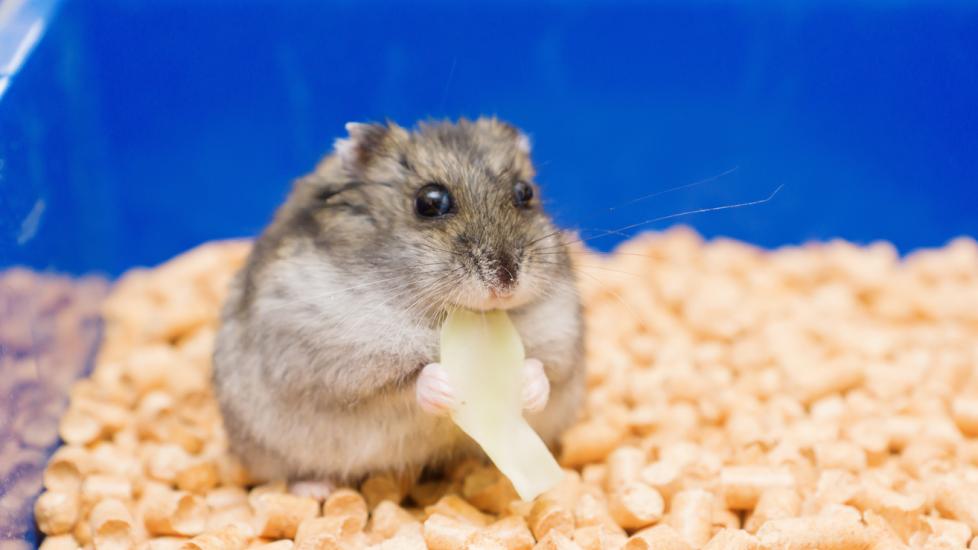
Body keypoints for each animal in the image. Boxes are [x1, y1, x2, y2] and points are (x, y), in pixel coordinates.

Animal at [212, 117, 584, 497]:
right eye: (430, 202)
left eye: (525, 193)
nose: (506, 281)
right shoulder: (339, 366)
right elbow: (404, 384)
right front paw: (444, 385)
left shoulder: (562, 344)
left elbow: (547, 373)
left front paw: (527, 383)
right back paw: (315, 490)